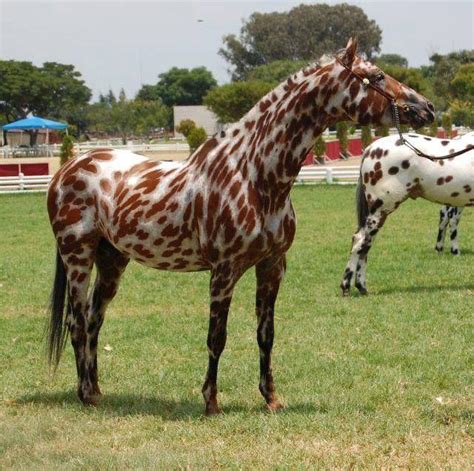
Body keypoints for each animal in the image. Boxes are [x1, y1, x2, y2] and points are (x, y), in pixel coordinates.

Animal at [47, 38, 434, 414]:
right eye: (377, 76)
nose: (427, 108)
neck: (253, 176)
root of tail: (67, 170)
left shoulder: (272, 266)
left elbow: (266, 334)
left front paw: (271, 398)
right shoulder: (224, 271)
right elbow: (216, 338)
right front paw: (211, 401)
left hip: (112, 260)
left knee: (94, 320)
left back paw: (97, 390)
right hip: (78, 257)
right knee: (77, 322)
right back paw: (85, 394)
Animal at [340, 131, 474, 296]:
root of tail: (370, 149)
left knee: (366, 245)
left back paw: (361, 287)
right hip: (380, 210)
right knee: (360, 242)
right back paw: (347, 287)